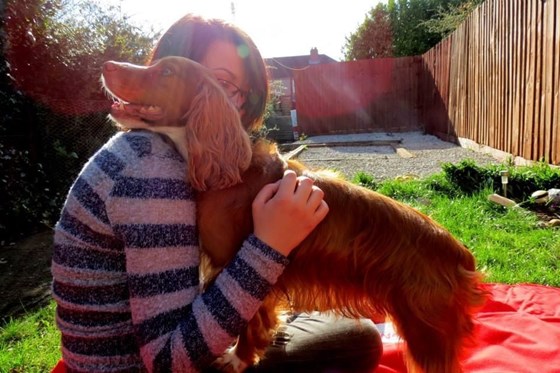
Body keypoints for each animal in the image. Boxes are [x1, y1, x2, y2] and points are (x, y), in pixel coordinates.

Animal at [103, 56, 488, 372]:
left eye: (167, 72)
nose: (107, 65)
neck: (229, 171)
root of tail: (461, 254)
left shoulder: (239, 266)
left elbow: (250, 323)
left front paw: (239, 359)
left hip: (427, 338)